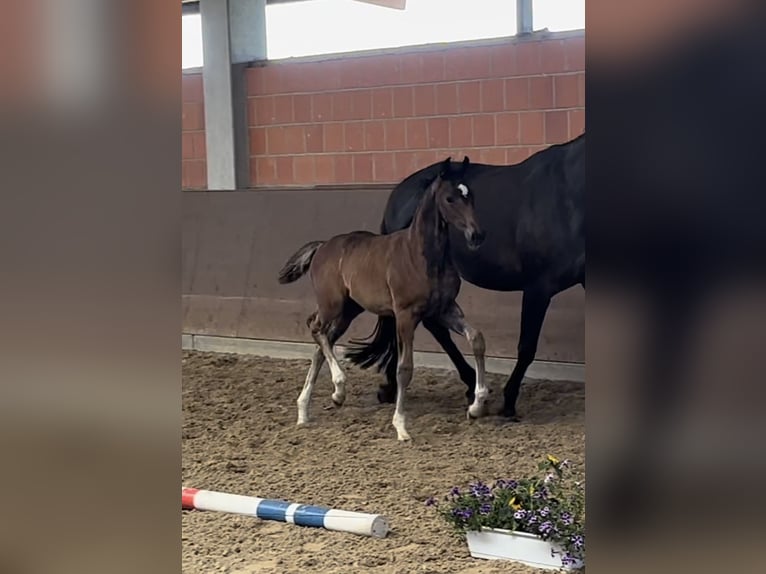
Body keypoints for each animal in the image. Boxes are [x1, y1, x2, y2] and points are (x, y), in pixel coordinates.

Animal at [282, 156, 492, 440]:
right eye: (450, 198)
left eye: (471, 196)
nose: (476, 235)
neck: (422, 256)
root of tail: (322, 245)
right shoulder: (406, 315)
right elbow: (404, 368)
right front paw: (401, 426)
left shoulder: (446, 309)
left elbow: (477, 338)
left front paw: (477, 406)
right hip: (332, 305)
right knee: (315, 328)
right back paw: (337, 386)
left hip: (349, 311)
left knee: (321, 342)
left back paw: (312, 407)